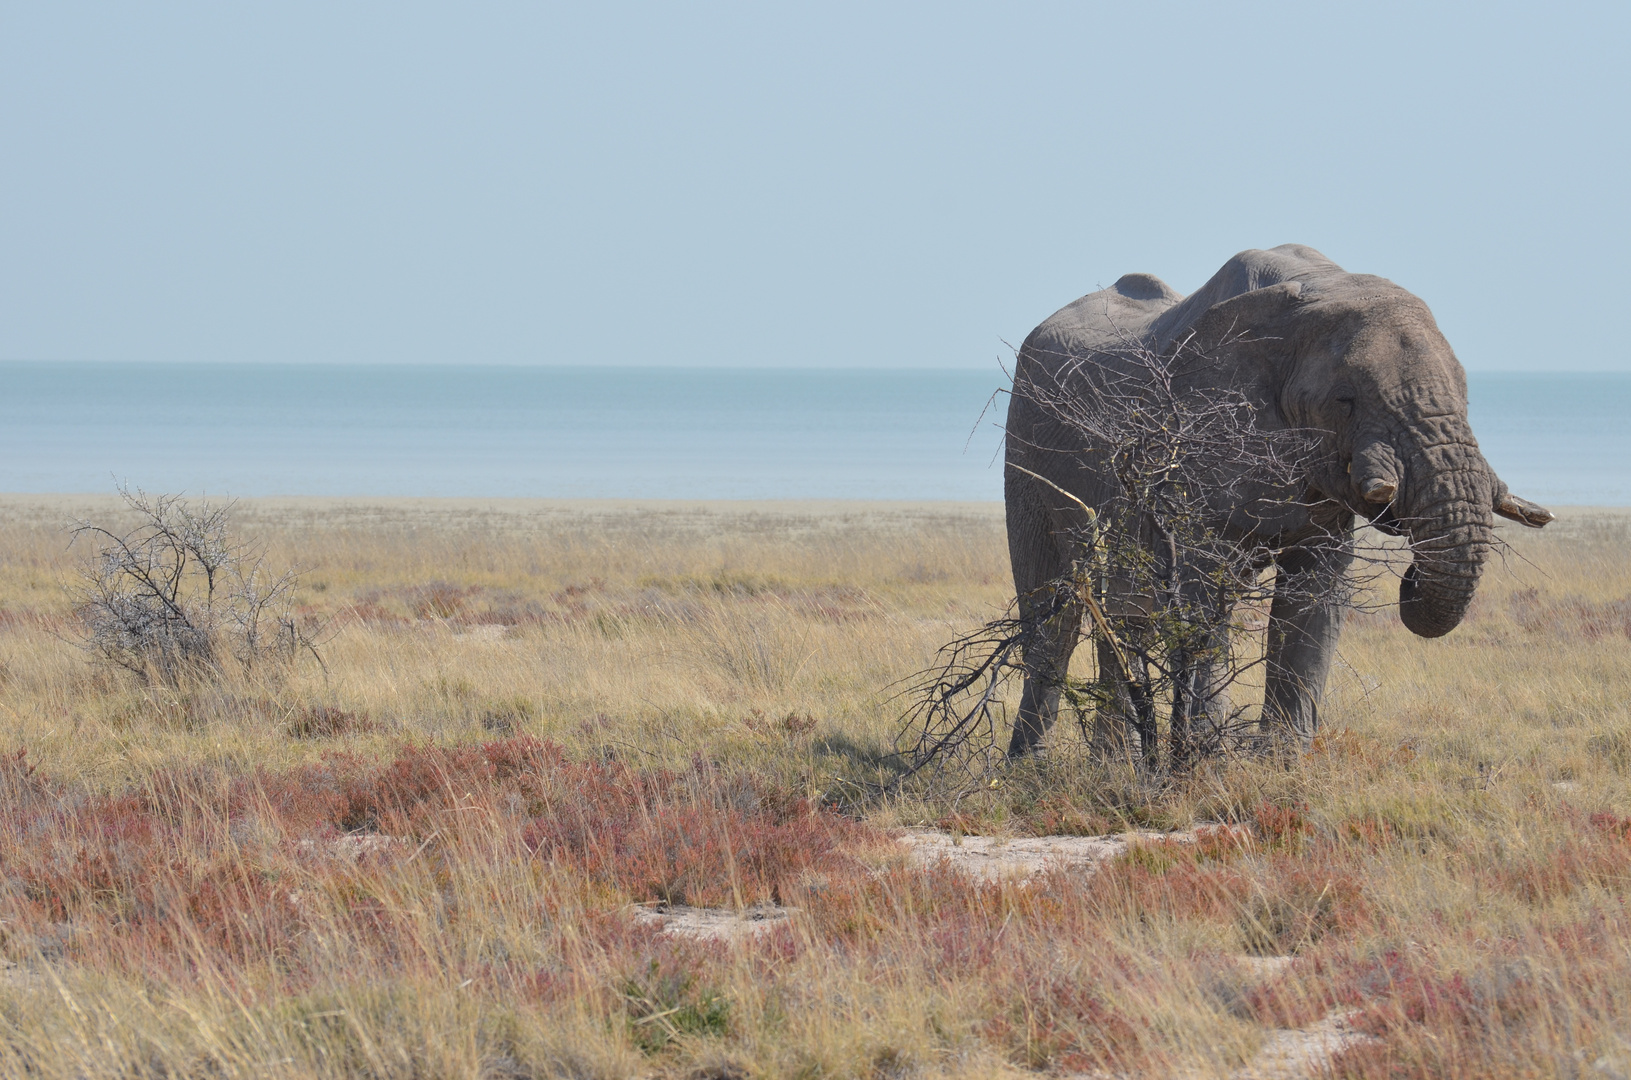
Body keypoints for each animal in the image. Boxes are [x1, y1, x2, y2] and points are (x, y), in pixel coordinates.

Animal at [1004, 241, 1552, 756]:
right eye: (1346, 401)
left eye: (1465, 394)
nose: (1411, 577)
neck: (1316, 287)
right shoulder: (1196, 442)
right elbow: (1203, 592)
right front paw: (1207, 759)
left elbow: (1315, 597)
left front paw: (1281, 762)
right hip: (1026, 443)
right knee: (1054, 611)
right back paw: (1035, 769)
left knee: (1124, 608)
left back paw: (1116, 763)